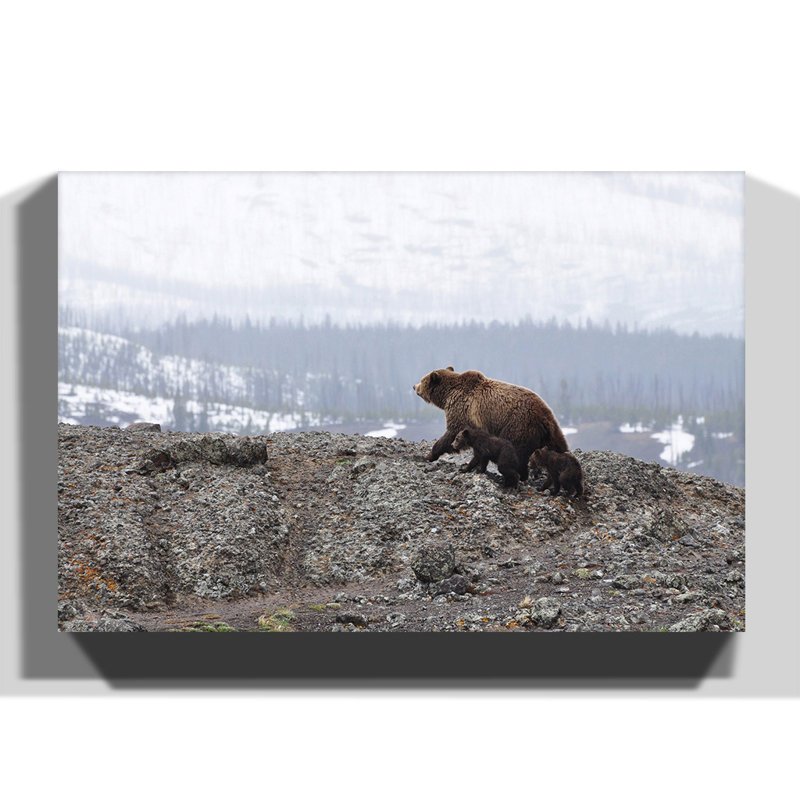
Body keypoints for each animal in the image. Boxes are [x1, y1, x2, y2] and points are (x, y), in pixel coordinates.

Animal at [413, 366, 568, 482]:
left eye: (422, 379)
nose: (414, 386)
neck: (447, 395)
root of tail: (545, 417)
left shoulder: (462, 409)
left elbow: (452, 432)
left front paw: (430, 454)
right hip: (551, 432)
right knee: (559, 446)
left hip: (518, 425)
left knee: (516, 451)